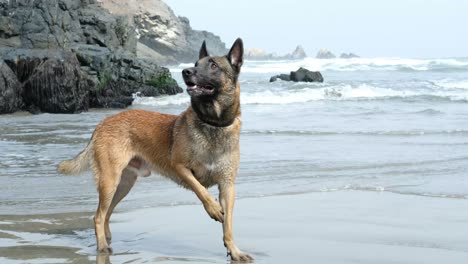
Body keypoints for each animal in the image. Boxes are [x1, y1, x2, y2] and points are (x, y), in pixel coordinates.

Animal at [57, 38, 254, 262]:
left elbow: (228, 225)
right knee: (98, 215)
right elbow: (201, 190)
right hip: (109, 181)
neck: (212, 123)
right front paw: (212, 208)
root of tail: (102, 123)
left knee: (105, 213)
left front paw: (234, 251)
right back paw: (102, 246)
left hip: (123, 185)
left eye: (213, 65)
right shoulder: (180, 168)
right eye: (196, 64)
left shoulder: (228, 186)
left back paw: (107, 239)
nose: (186, 71)